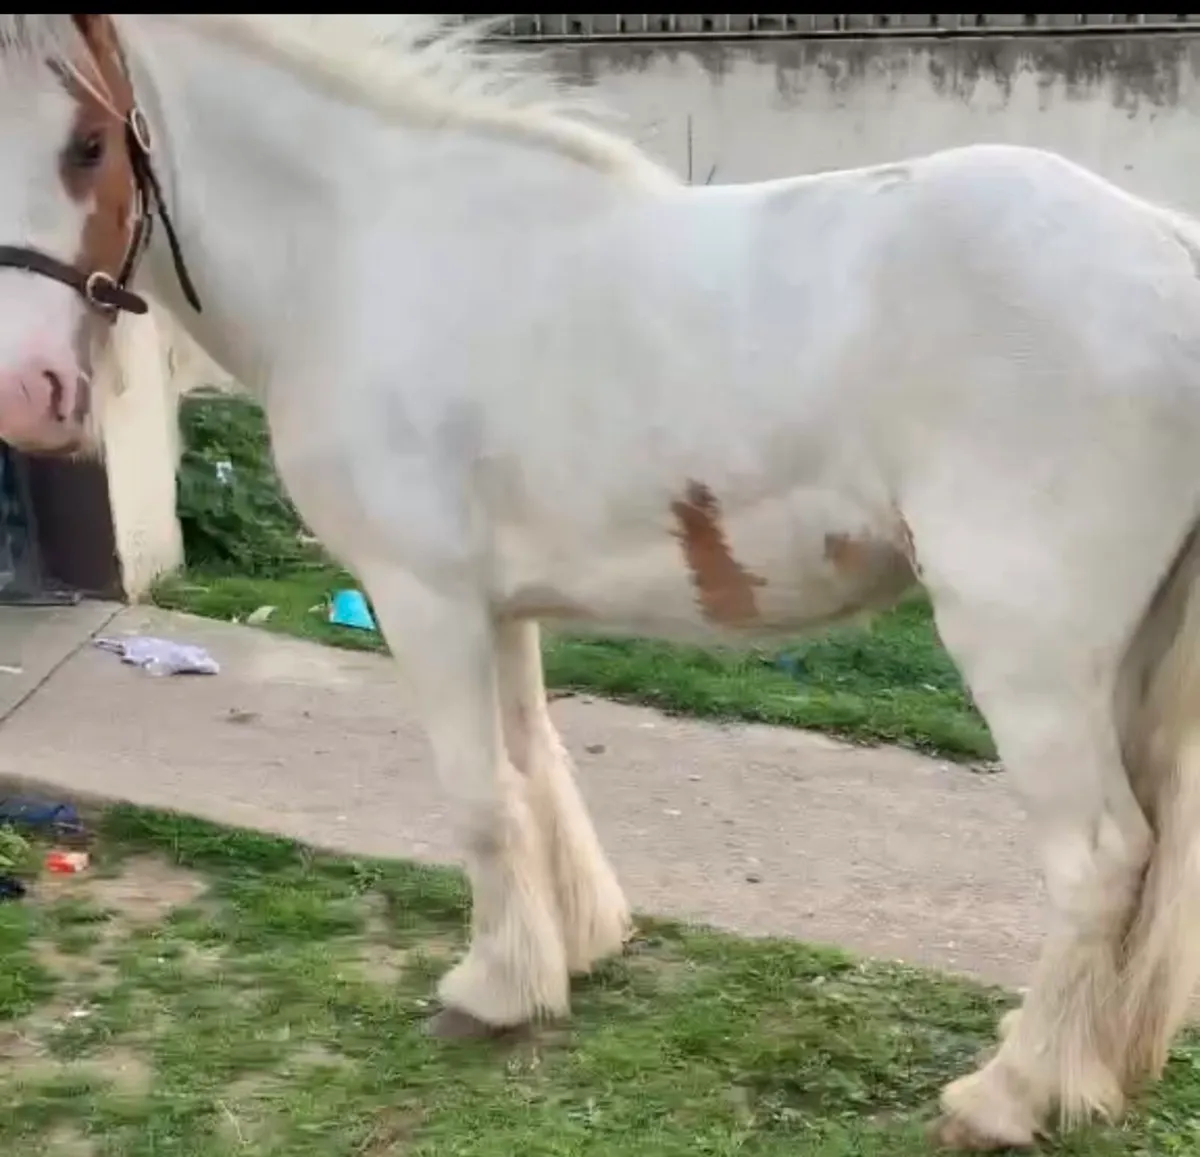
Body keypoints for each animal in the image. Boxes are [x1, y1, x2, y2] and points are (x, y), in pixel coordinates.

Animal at [1, 13, 1199, 1150]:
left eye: (90, 143)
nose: (31, 395)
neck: (360, 251)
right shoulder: (496, 606)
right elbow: (535, 768)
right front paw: (571, 950)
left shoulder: (424, 598)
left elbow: (477, 795)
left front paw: (493, 988)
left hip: (1028, 658)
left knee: (1100, 860)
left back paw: (1007, 1093)